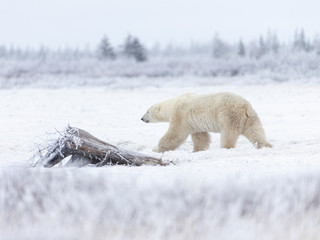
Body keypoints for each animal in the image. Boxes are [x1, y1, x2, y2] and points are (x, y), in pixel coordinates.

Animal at [141, 92, 272, 152]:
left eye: (147, 111)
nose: (142, 118)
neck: (172, 104)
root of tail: (246, 106)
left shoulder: (180, 115)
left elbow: (175, 134)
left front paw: (156, 148)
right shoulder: (194, 124)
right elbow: (201, 137)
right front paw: (197, 150)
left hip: (228, 115)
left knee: (228, 133)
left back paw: (226, 147)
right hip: (250, 118)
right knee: (255, 131)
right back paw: (266, 145)